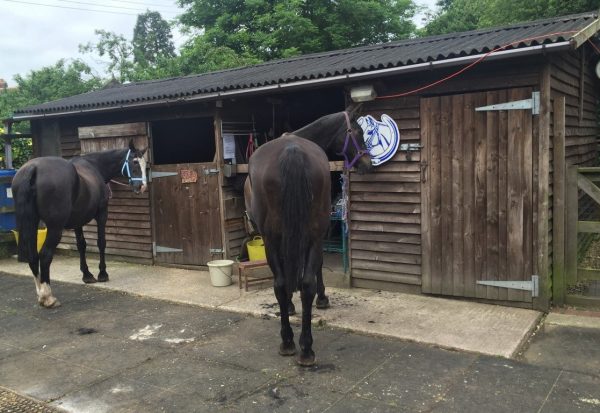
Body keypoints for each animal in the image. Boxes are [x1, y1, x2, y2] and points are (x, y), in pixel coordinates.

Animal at [12, 141, 148, 306]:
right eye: (134, 162)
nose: (142, 187)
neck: (95, 166)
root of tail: (33, 168)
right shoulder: (102, 214)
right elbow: (101, 242)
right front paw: (102, 274)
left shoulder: (78, 221)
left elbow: (81, 245)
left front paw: (87, 275)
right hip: (55, 228)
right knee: (45, 255)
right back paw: (48, 297)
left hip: (31, 221)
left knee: (32, 255)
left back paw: (40, 294)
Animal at [244, 108, 370, 364]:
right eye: (358, 131)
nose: (367, 162)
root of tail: (292, 151)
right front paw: (321, 299)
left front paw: (293, 305)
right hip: (305, 236)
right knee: (299, 283)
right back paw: (301, 346)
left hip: (278, 239)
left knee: (284, 283)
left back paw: (294, 344)